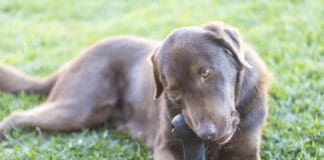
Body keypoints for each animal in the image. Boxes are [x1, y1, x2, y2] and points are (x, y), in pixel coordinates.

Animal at [0, 21, 270, 159]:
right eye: (174, 92)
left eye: (205, 72)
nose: (206, 134)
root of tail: (71, 62)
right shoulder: (166, 147)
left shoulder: (245, 152)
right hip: (81, 108)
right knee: (18, 115)